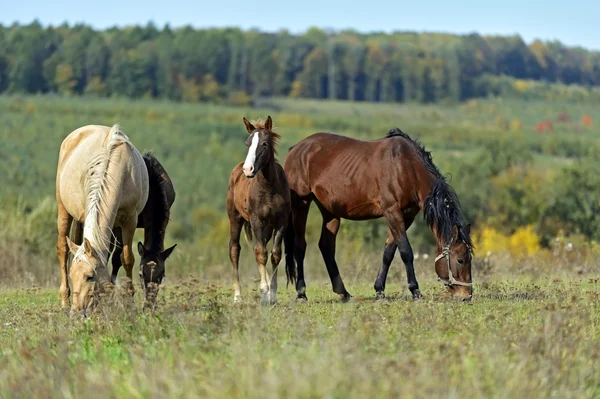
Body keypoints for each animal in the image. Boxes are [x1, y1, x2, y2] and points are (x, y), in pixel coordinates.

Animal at [56, 123, 149, 318]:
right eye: (72, 276)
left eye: (90, 277)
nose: (76, 314)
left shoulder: (130, 221)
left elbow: (126, 258)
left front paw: (129, 302)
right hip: (63, 209)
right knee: (62, 249)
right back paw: (64, 301)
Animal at [226, 117, 292, 304]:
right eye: (247, 143)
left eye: (264, 143)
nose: (248, 170)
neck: (269, 188)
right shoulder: (256, 220)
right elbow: (261, 253)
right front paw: (264, 292)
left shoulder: (281, 222)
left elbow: (275, 254)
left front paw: (272, 293)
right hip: (235, 218)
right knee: (235, 249)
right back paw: (238, 295)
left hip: (267, 228)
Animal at [284, 130, 476, 302]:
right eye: (460, 260)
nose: (466, 295)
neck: (407, 167)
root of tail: (296, 149)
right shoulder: (392, 212)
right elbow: (406, 252)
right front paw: (415, 291)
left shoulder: (406, 216)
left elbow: (388, 253)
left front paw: (379, 291)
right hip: (301, 203)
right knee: (300, 246)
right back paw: (301, 294)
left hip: (330, 211)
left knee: (326, 246)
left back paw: (344, 293)